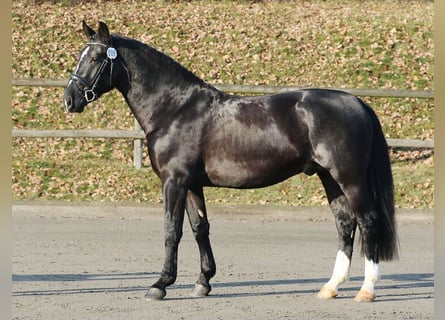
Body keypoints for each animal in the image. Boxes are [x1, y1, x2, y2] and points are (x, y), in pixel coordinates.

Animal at [63, 21, 398, 302]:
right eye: (81, 56)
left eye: (97, 58)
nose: (69, 100)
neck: (175, 109)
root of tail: (356, 101)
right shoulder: (192, 185)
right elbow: (200, 228)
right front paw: (203, 282)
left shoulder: (174, 182)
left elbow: (172, 230)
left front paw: (160, 284)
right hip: (330, 178)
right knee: (345, 224)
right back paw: (331, 287)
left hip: (349, 178)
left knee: (368, 221)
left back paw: (366, 290)